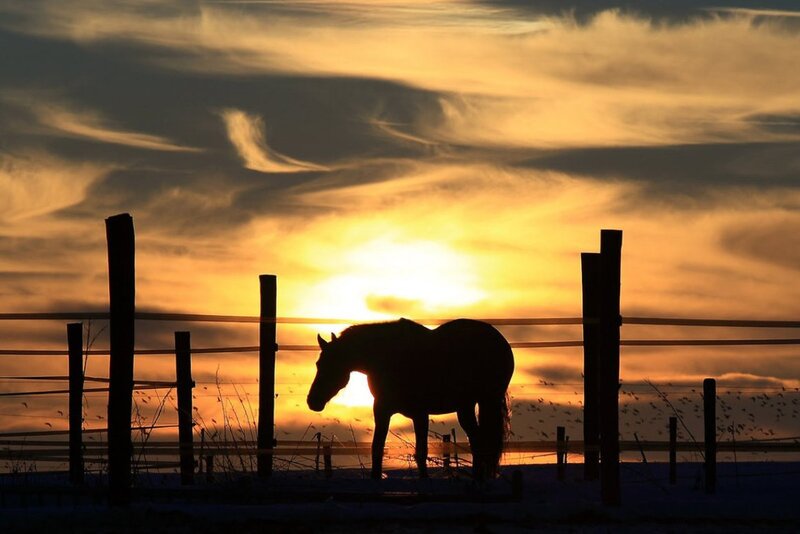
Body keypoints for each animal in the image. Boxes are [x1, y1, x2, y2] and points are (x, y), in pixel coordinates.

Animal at [307, 318, 514, 479]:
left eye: (332, 365)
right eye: (318, 364)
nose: (312, 401)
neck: (387, 358)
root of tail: (501, 342)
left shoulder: (420, 413)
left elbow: (421, 453)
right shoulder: (382, 410)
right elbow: (377, 448)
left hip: (488, 400)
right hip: (466, 407)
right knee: (477, 440)